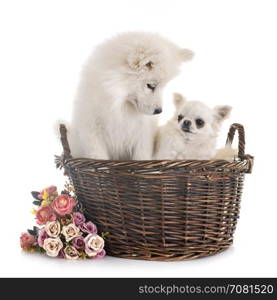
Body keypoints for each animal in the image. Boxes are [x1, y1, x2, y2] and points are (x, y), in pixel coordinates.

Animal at [67, 31, 192, 159]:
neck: (120, 105)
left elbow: (141, 156)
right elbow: (98, 155)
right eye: (151, 86)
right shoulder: (92, 130)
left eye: (163, 87)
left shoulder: (143, 134)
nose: (159, 111)